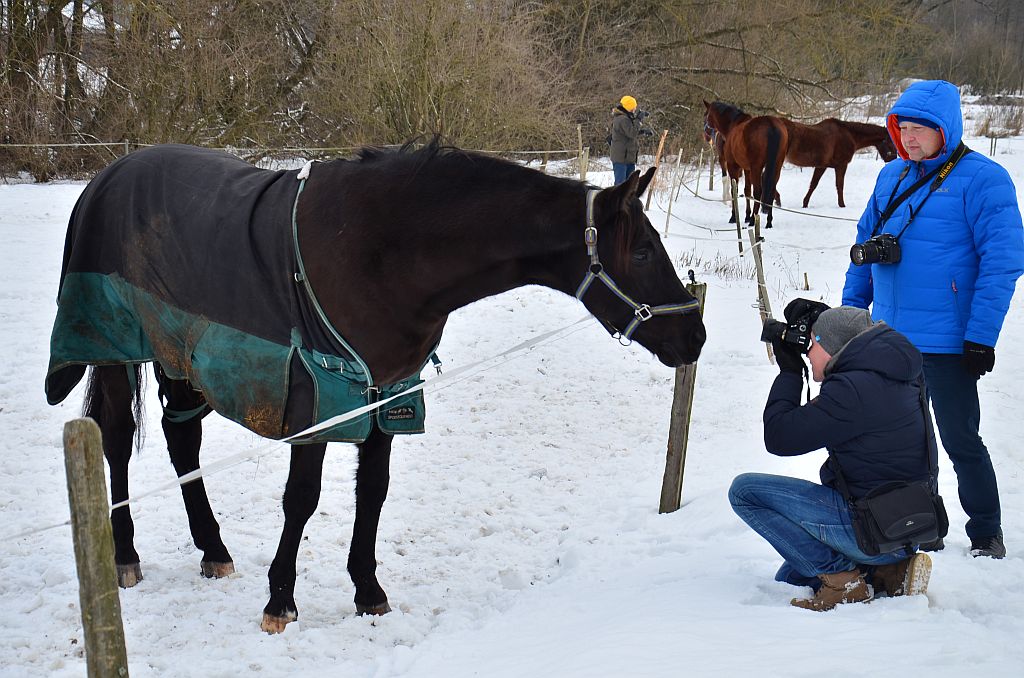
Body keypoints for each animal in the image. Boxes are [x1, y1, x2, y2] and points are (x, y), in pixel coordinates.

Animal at [46, 140, 704, 634]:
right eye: (643, 252)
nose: (694, 336)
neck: (383, 252)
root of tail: (108, 175)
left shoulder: (385, 396)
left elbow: (374, 493)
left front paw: (368, 590)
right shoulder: (316, 394)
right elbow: (302, 499)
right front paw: (280, 601)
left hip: (182, 354)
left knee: (180, 440)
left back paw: (213, 549)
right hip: (114, 345)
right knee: (113, 439)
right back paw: (124, 555)